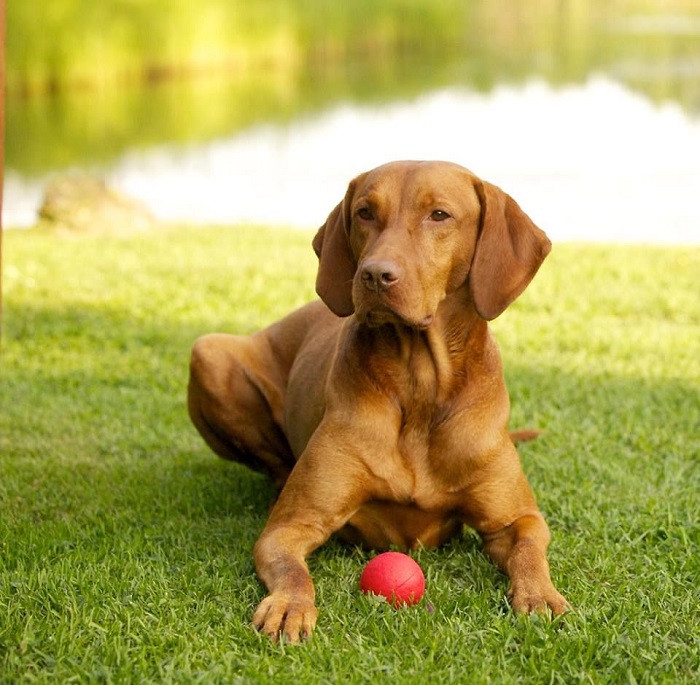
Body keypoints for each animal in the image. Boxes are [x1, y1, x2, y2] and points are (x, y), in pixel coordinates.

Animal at [187, 160, 568, 640]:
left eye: (439, 215)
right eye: (365, 212)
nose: (373, 275)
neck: (419, 383)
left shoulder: (517, 520)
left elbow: (529, 552)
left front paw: (539, 596)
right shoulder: (289, 526)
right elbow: (293, 570)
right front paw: (290, 605)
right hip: (208, 353)